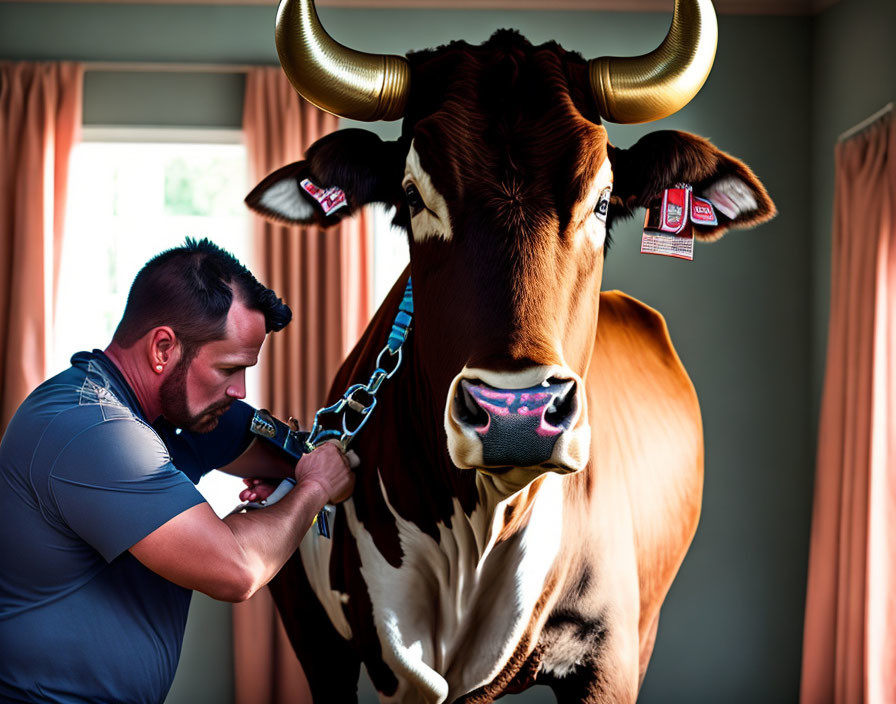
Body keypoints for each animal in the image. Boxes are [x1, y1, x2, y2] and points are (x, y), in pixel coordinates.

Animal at [245, 1, 776, 700]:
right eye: (413, 196)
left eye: (602, 201)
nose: (515, 414)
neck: (481, 533)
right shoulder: (358, 657)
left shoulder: (610, 656)